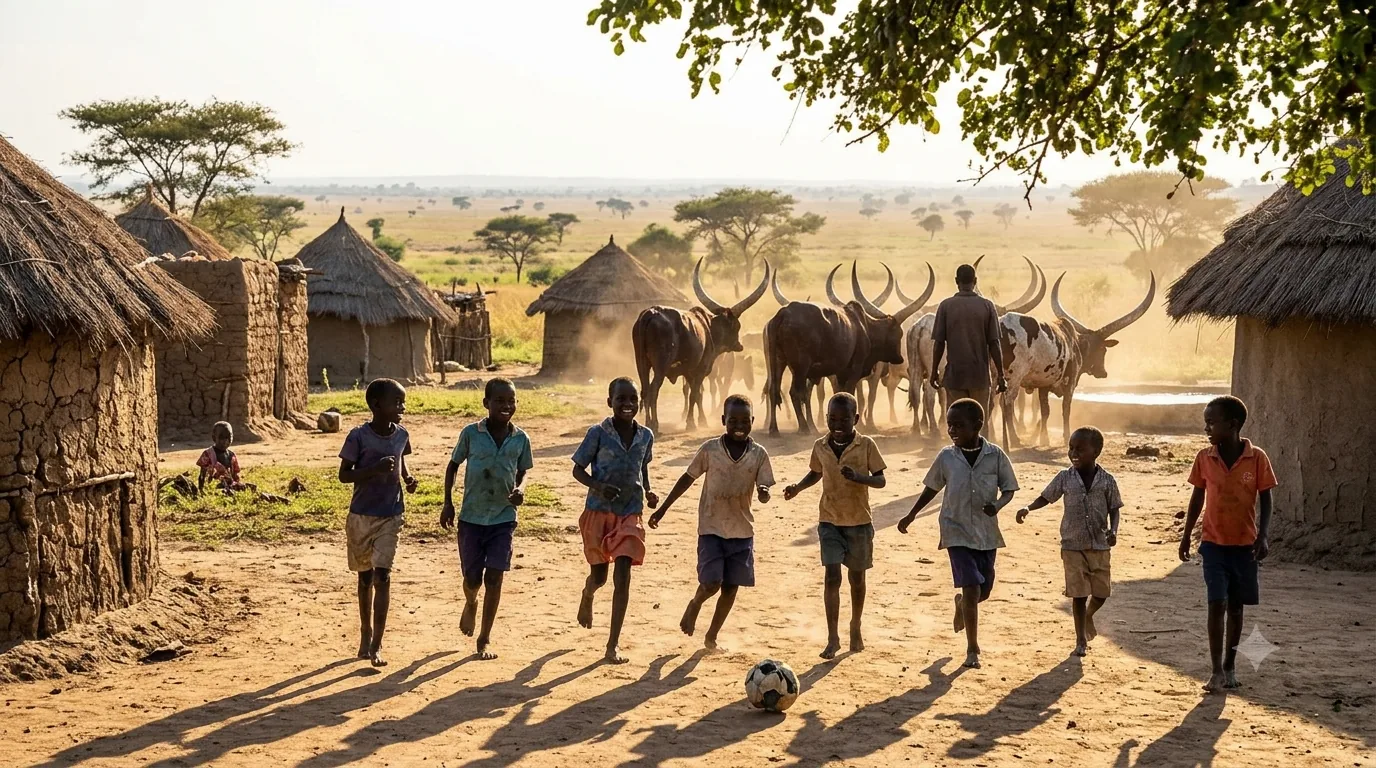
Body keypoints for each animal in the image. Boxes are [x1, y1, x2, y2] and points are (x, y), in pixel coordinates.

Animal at [632, 258, 771, 432]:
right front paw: (691, 423)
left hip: (641, 363)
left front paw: (702, 420)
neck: (709, 327)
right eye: (737, 326)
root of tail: (649, 314)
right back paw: (654, 424)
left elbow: (697, 394)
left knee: (644, 390)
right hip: (660, 366)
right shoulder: (701, 369)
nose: (739, 345)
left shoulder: (689, 371)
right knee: (653, 390)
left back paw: (646, 423)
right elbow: (695, 394)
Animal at [765, 262, 933, 434]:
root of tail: (783, 314)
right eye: (898, 333)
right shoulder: (854, 370)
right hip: (801, 366)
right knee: (795, 392)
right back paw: (805, 428)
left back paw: (774, 429)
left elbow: (841, 394)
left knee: (773, 389)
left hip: (778, 361)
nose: (899, 358)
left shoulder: (841, 373)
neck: (864, 327)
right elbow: (850, 394)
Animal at [997, 272, 1156, 447]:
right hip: (1014, 377)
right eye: (1102, 349)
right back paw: (1014, 439)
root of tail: (1002, 324)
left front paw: (1044, 438)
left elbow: (1045, 411)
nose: (1103, 373)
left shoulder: (1044, 384)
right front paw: (1066, 436)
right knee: (1007, 403)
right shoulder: (1070, 382)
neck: (1074, 344)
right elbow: (1066, 409)